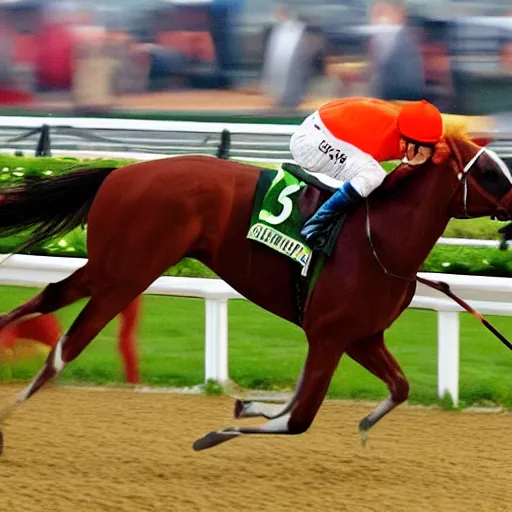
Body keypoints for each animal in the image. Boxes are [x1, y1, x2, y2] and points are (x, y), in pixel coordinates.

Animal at [0, 132, 512, 452]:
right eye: (491, 173)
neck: (381, 238)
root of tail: (118, 174)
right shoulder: (330, 335)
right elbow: (298, 417)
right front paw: (218, 432)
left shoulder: (362, 338)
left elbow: (399, 388)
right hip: (126, 274)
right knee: (66, 347)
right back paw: (14, 414)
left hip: (109, 267)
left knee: (49, 297)